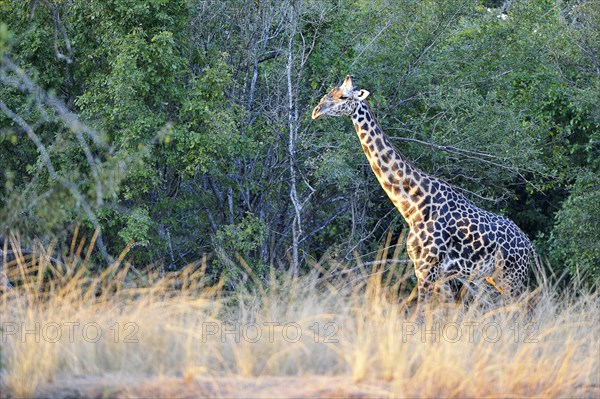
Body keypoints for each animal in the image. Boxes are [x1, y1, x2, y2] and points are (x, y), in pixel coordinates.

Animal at [312, 76, 532, 310]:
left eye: (343, 97)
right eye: (328, 93)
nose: (316, 111)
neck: (413, 206)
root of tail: (529, 246)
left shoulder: (428, 268)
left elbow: (422, 312)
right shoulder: (429, 270)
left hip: (512, 277)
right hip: (490, 278)